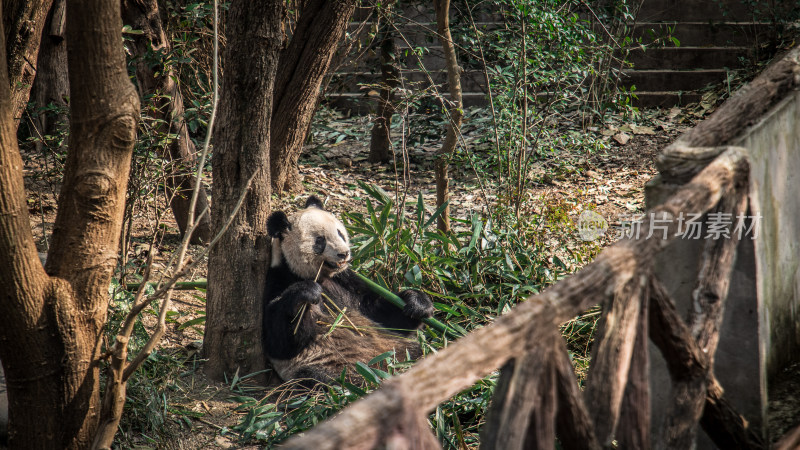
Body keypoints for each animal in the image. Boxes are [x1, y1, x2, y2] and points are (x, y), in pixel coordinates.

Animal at [266, 195, 434, 384]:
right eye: (320, 240)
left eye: (340, 233)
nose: (344, 253)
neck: (320, 276)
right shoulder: (279, 278)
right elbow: (280, 340)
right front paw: (305, 295)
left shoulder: (347, 282)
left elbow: (382, 314)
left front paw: (417, 303)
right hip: (327, 366)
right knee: (323, 378)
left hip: (401, 348)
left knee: (417, 352)